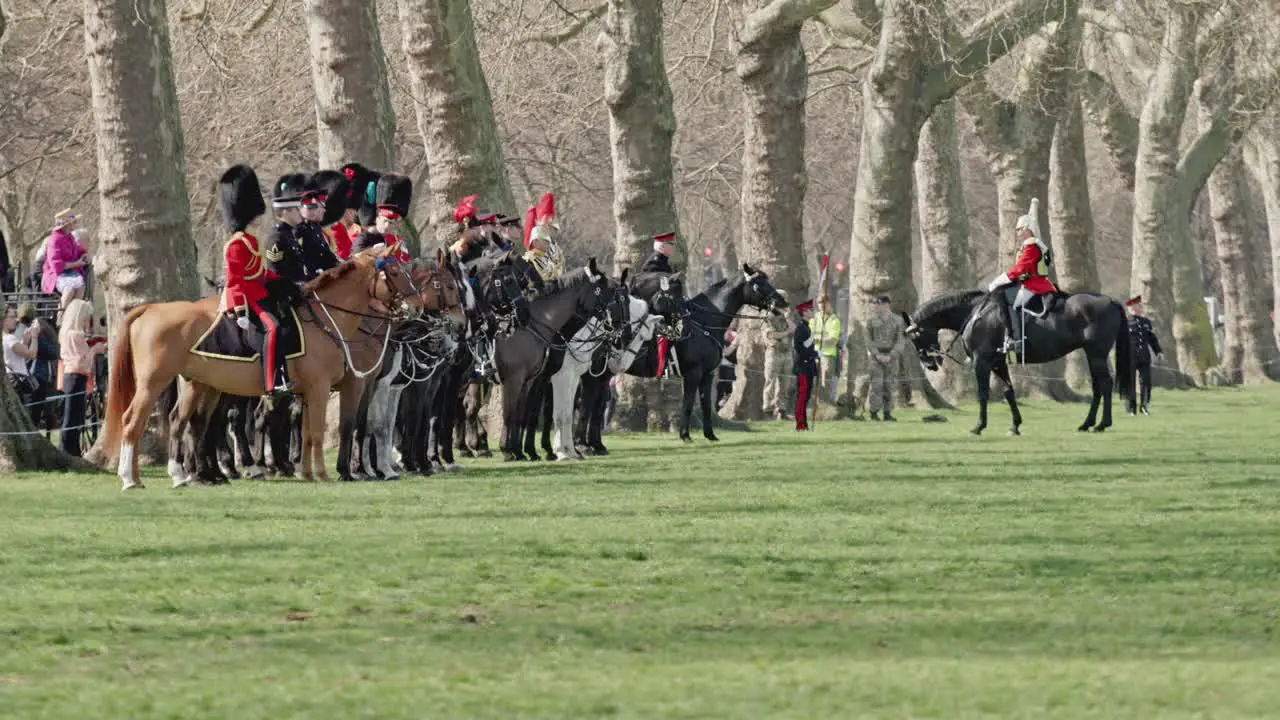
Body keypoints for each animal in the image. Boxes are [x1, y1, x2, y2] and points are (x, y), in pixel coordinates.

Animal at [103, 248, 419, 486]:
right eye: (394, 272)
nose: (414, 307)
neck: (326, 319)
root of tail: (151, 308)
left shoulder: (309, 393)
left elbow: (306, 432)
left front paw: (306, 473)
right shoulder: (329, 387)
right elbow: (324, 430)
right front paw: (326, 474)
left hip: (195, 384)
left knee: (182, 422)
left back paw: (183, 475)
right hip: (153, 383)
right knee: (134, 421)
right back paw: (132, 479)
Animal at [906, 288, 1136, 435]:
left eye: (915, 336)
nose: (929, 364)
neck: (976, 314)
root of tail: (1110, 300)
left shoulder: (982, 361)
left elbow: (983, 393)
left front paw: (979, 426)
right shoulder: (998, 362)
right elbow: (1009, 391)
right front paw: (1015, 425)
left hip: (1096, 353)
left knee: (1105, 384)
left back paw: (1101, 424)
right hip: (1093, 354)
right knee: (1098, 387)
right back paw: (1087, 424)